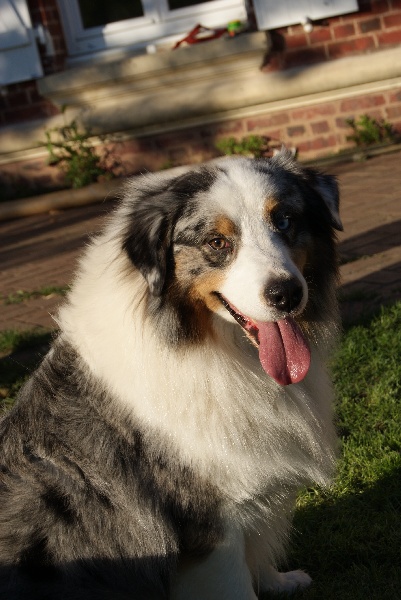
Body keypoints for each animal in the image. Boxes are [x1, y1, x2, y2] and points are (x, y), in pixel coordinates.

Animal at [0, 151, 342, 599]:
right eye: (217, 243)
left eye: (284, 221)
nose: (286, 295)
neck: (215, 350)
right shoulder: (211, 523)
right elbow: (237, 585)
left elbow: (257, 554)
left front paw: (280, 581)